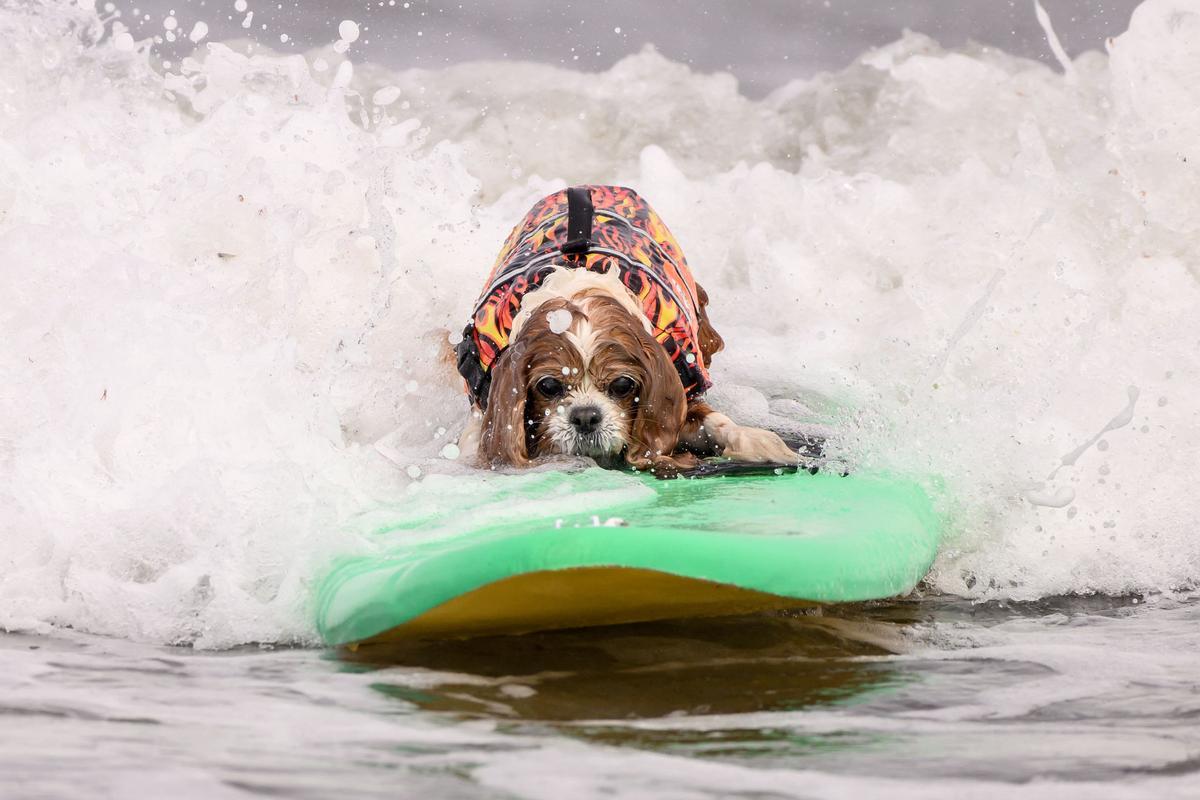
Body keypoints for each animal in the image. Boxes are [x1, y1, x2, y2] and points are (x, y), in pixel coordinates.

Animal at [453, 185, 801, 474]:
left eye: (622, 385)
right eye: (549, 386)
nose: (586, 416)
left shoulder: (685, 391)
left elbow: (718, 423)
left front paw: (761, 444)